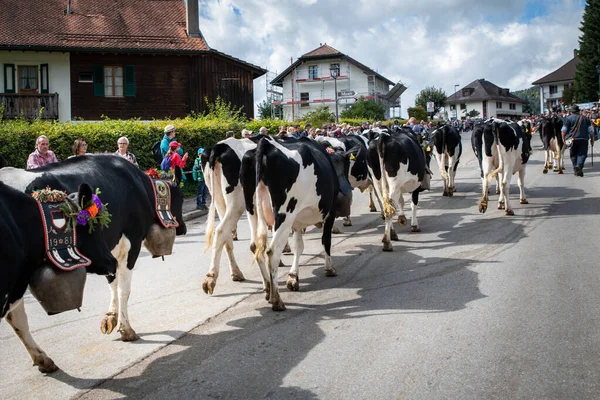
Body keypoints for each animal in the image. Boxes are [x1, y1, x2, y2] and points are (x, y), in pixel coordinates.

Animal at [0, 156, 188, 346]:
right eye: (181, 196)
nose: (183, 228)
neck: (139, 186)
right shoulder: (131, 244)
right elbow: (123, 289)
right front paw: (126, 329)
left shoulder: (108, 251)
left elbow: (112, 281)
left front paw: (111, 318)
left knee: (16, 320)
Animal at [240, 136, 352, 310]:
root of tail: (265, 145)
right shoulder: (330, 211)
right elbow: (326, 240)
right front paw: (329, 268)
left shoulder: (297, 221)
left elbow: (299, 246)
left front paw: (293, 277)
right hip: (285, 213)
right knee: (272, 251)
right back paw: (277, 300)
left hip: (252, 210)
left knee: (255, 246)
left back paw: (267, 288)